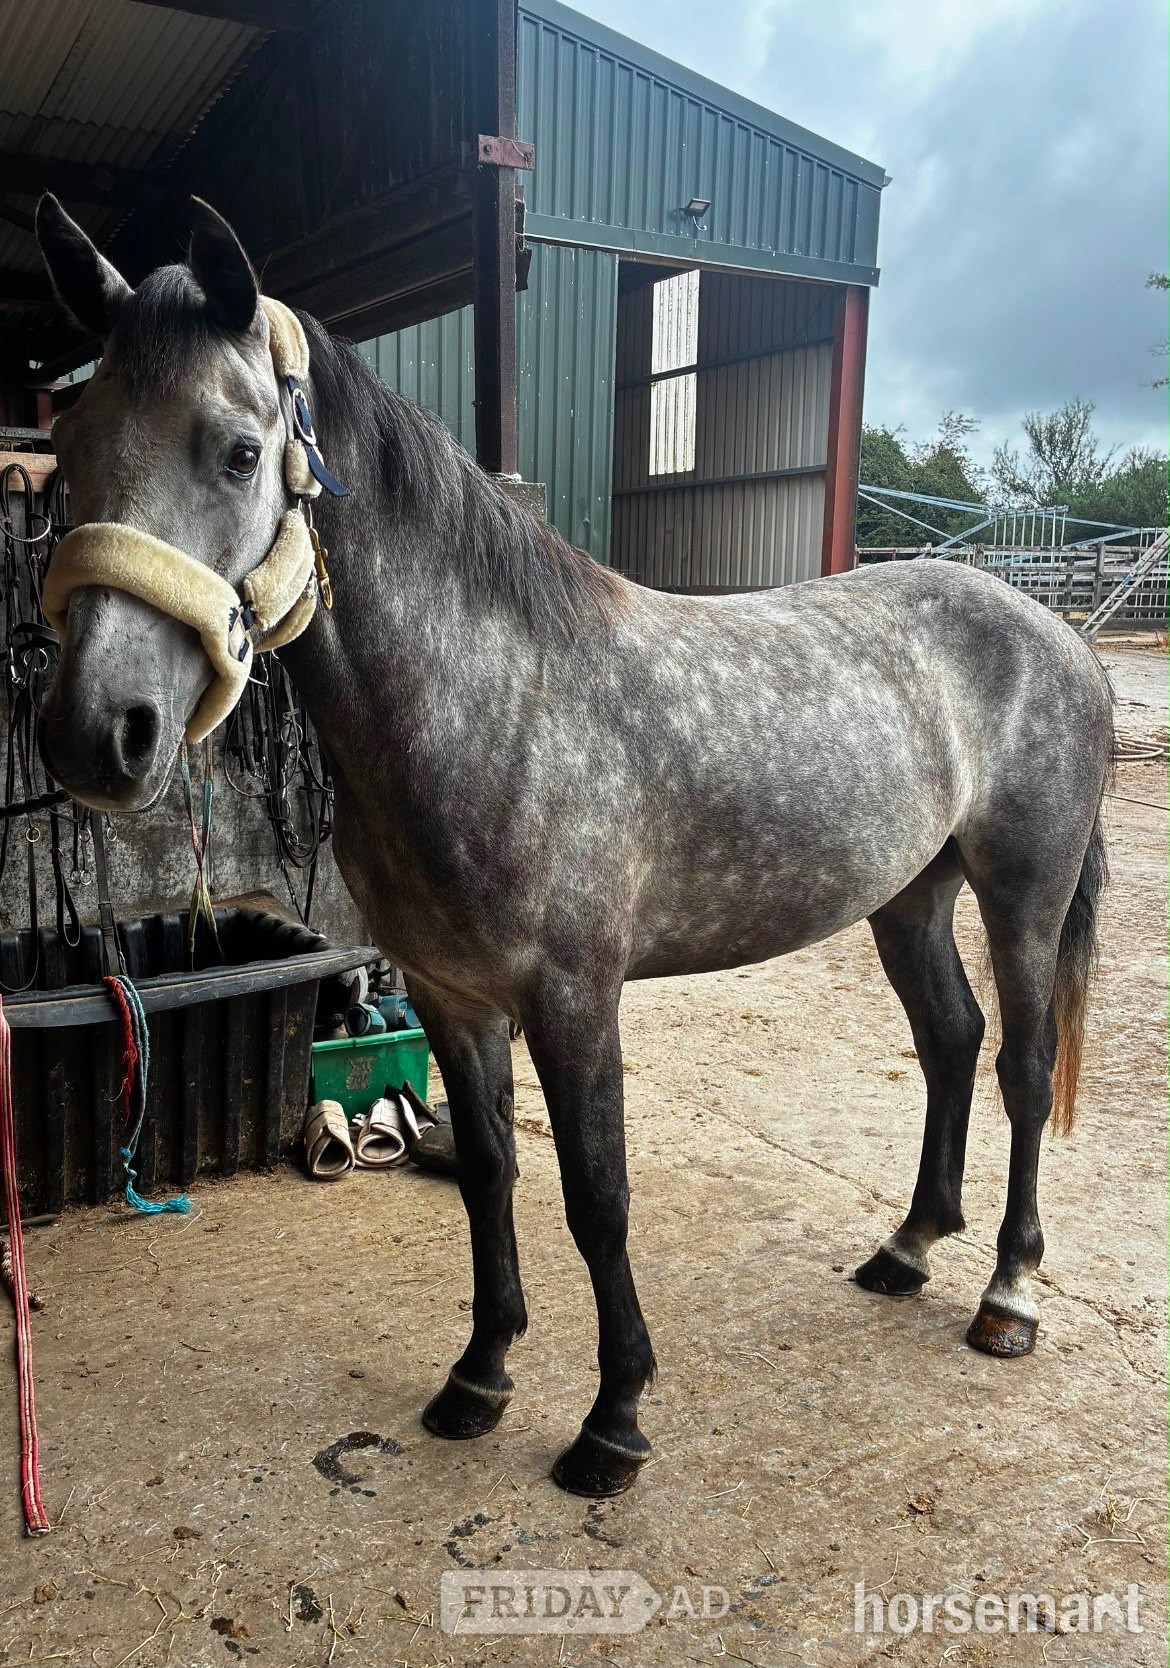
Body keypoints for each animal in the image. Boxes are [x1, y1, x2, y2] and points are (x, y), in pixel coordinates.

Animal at [32, 195, 1112, 1498]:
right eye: (69, 444)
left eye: (239, 451)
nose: (100, 733)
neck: (496, 701)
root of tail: (1054, 630)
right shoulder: (453, 998)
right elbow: (492, 1175)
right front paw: (479, 1375)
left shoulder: (574, 996)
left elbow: (598, 1199)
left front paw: (615, 1421)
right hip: (909, 896)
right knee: (951, 1042)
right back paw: (906, 1249)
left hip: (1022, 892)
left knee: (1019, 1066)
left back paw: (1007, 1294)